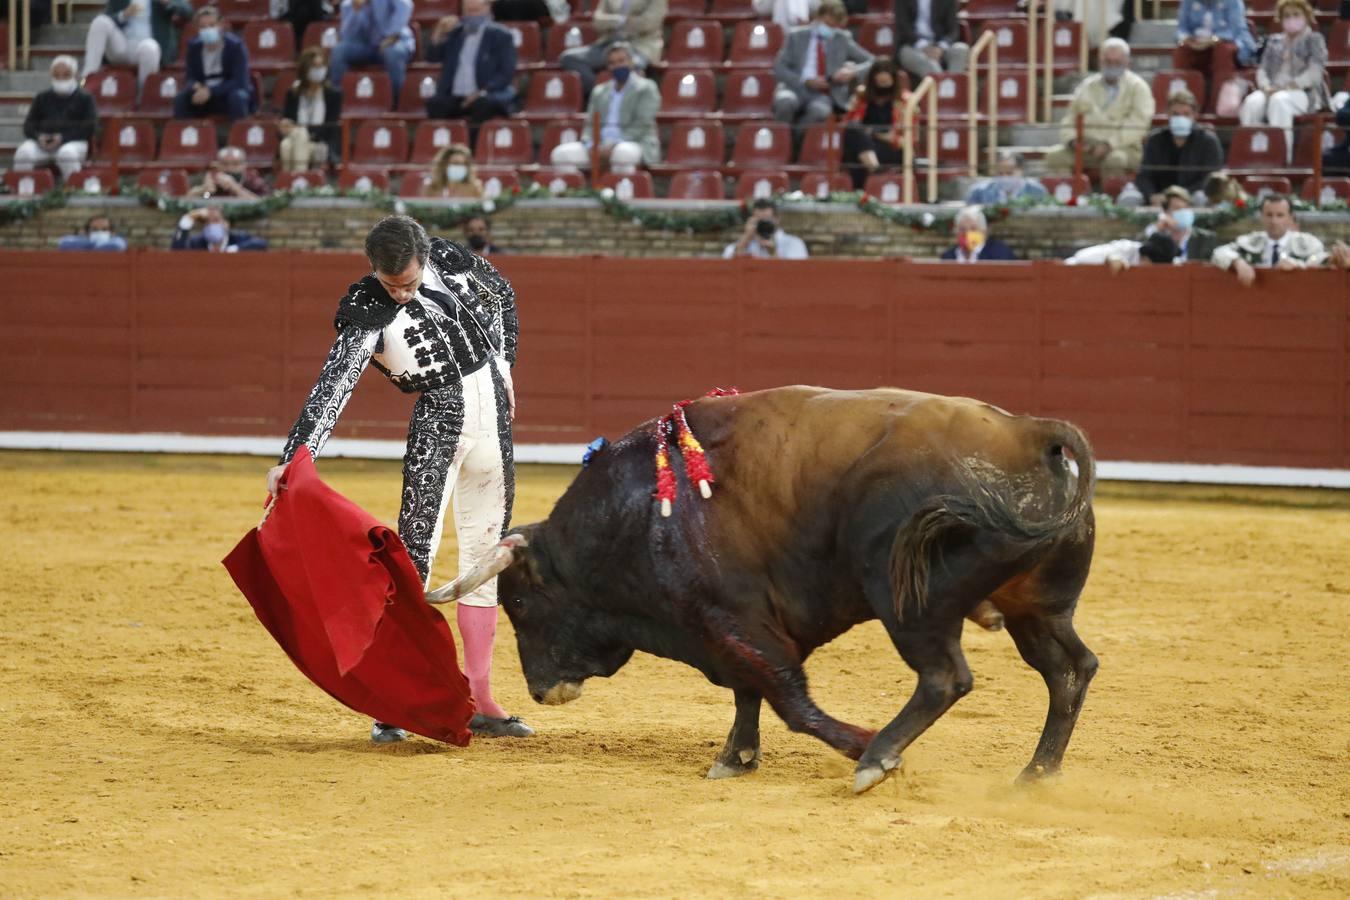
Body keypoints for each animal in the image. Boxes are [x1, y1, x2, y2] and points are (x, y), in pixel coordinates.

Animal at [429, 388, 1096, 793]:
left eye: (519, 603)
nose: (541, 691)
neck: (643, 516)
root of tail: (1030, 432)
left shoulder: (733, 618)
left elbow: (785, 696)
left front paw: (856, 746)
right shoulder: (725, 627)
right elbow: (747, 692)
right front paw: (735, 757)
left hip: (913, 605)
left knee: (946, 678)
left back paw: (877, 756)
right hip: (1037, 606)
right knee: (1069, 669)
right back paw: (1038, 773)